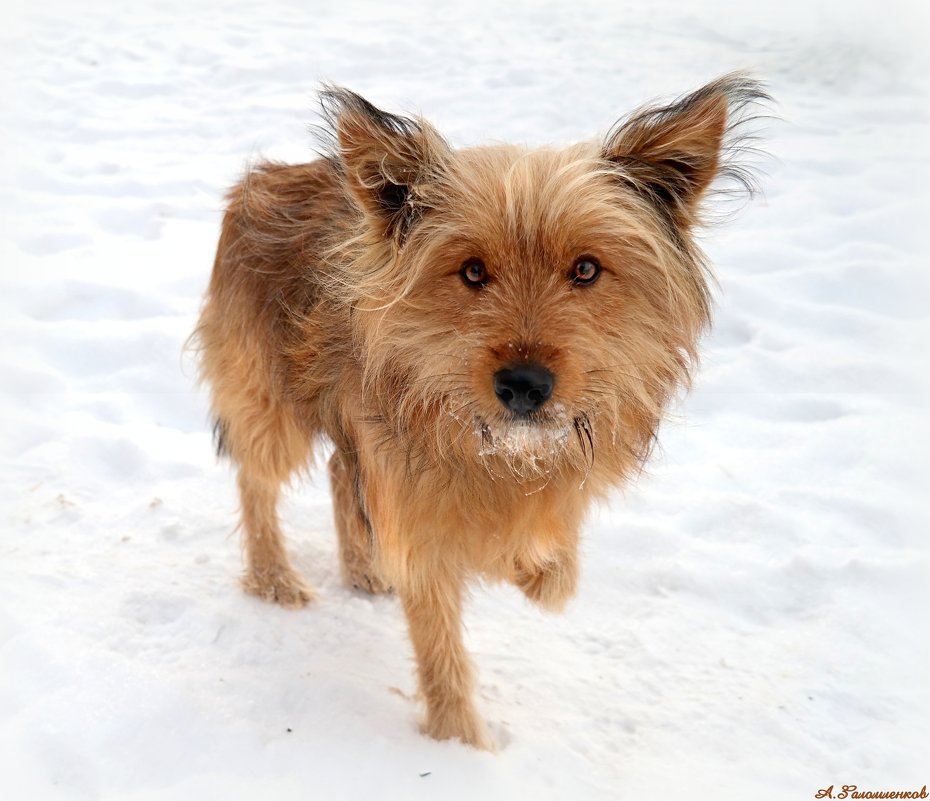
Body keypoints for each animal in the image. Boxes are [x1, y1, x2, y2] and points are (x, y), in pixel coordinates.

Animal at [194, 75, 760, 752]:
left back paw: (365, 567)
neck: (497, 448)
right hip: (268, 400)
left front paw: (533, 567)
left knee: (338, 471)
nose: (524, 386)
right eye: (472, 271)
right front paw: (461, 744)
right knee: (258, 481)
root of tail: (264, 178)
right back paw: (273, 576)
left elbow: (555, 566)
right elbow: (441, 642)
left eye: (586, 269)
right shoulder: (416, 514)